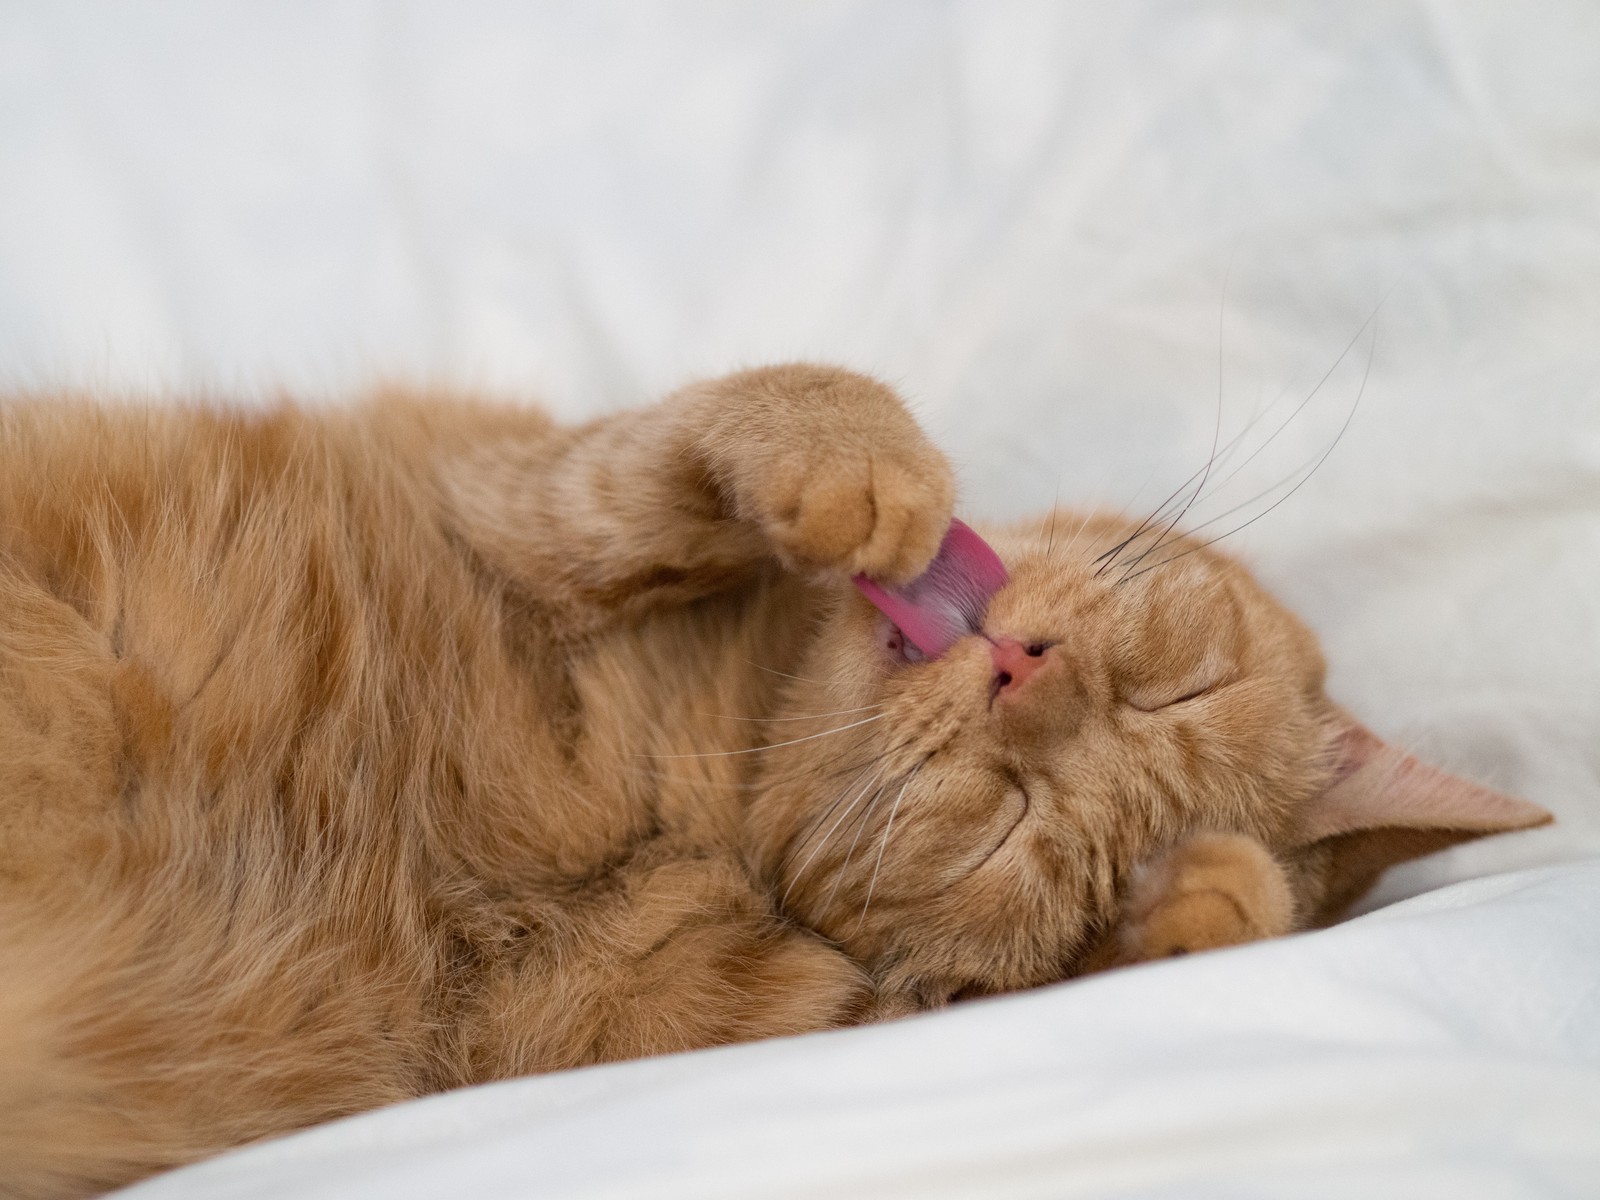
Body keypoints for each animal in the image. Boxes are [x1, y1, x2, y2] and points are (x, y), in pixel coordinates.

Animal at [0, 369, 1548, 1200]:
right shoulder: (511, 497)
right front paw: (864, 470)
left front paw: (1197, 907)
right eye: (1173, 683)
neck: (703, 779)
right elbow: (715, 424)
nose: (1023, 673)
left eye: (1019, 829)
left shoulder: (670, 1028)